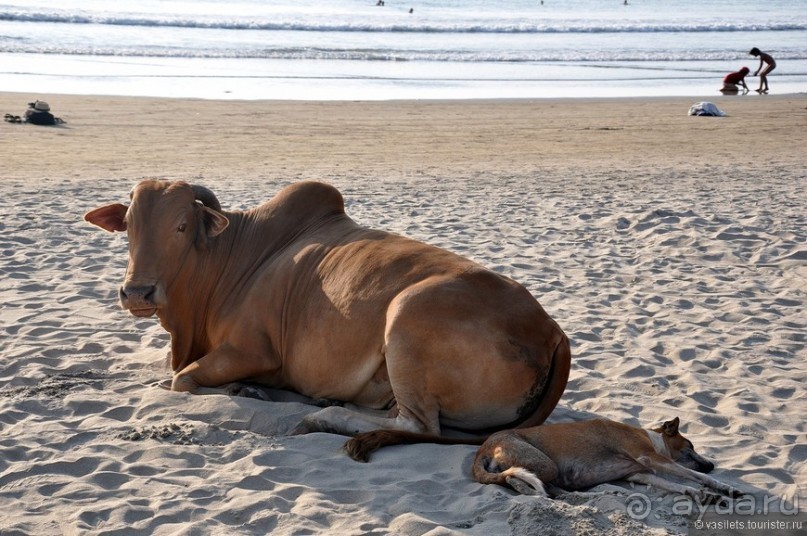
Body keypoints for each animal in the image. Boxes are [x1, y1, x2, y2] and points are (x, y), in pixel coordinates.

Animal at [85, 182, 572, 438]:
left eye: (182, 226)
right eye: (128, 225)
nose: (137, 292)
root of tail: (550, 330)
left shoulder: (253, 350)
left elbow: (182, 379)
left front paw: (246, 390)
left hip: (406, 314)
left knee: (418, 427)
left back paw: (321, 414)